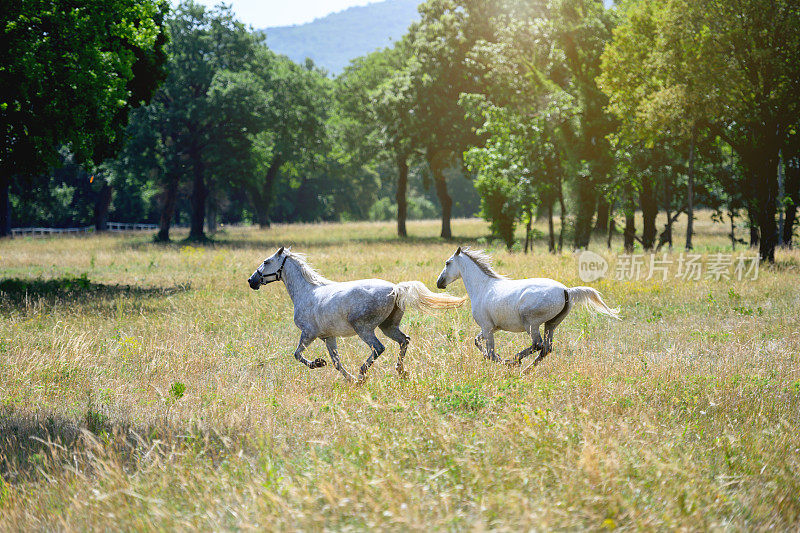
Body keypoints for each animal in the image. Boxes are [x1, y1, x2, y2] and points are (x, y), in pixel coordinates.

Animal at [247, 247, 466, 380]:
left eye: (266, 261)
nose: (251, 281)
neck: (307, 291)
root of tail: (395, 289)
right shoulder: (328, 336)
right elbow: (336, 362)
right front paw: (347, 379)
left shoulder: (309, 333)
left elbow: (297, 354)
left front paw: (318, 363)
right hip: (388, 327)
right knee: (404, 340)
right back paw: (400, 371)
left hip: (363, 328)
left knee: (378, 348)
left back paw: (362, 374)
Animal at [438, 247, 620, 368]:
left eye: (448, 263)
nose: (439, 283)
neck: (482, 287)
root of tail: (566, 290)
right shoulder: (491, 328)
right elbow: (477, 342)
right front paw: (499, 359)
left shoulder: (487, 327)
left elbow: (489, 351)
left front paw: (502, 361)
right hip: (551, 324)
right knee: (546, 349)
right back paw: (526, 369)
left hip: (531, 323)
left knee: (538, 345)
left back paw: (515, 360)